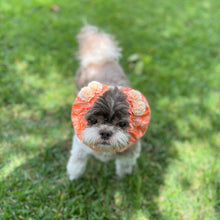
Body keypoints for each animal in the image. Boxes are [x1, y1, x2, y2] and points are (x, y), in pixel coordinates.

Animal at [66, 25, 150, 180]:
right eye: (93, 120)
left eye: (122, 124)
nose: (105, 132)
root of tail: (99, 58)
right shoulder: (80, 144)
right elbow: (77, 160)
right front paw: (74, 175)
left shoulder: (129, 152)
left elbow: (124, 165)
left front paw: (123, 177)